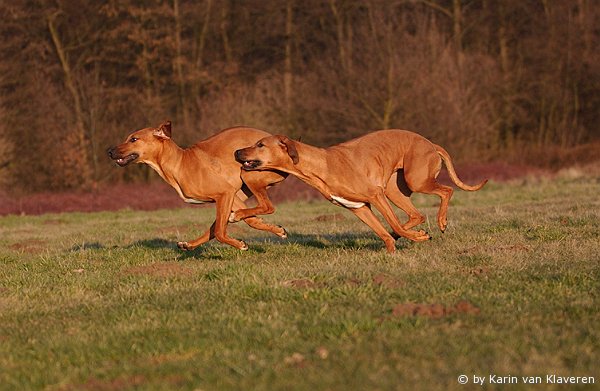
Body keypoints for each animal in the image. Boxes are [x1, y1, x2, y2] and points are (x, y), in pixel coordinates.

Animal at [108, 121, 288, 253]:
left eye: (133, 139)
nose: (109, 151)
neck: (179, 163)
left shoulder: (225, 193)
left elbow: (220, 232)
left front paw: (240, 243)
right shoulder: (231, 195)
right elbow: (239, 222)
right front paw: (272, 228)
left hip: (248, 174)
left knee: (267, 206)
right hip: (241, 190)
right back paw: (189, 244)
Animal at [234, 130, 488, 254]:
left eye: (260, 145)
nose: (237, 152)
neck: (321, 165)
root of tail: (431, 144)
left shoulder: (374, 195)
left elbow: (392, 225)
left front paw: (415, 238)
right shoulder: (359, 208)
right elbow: (384, 232)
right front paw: (391, 250)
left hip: (416, 181)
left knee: (446, 191)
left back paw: (439, 222)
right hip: (394, 190)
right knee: (414, 216)